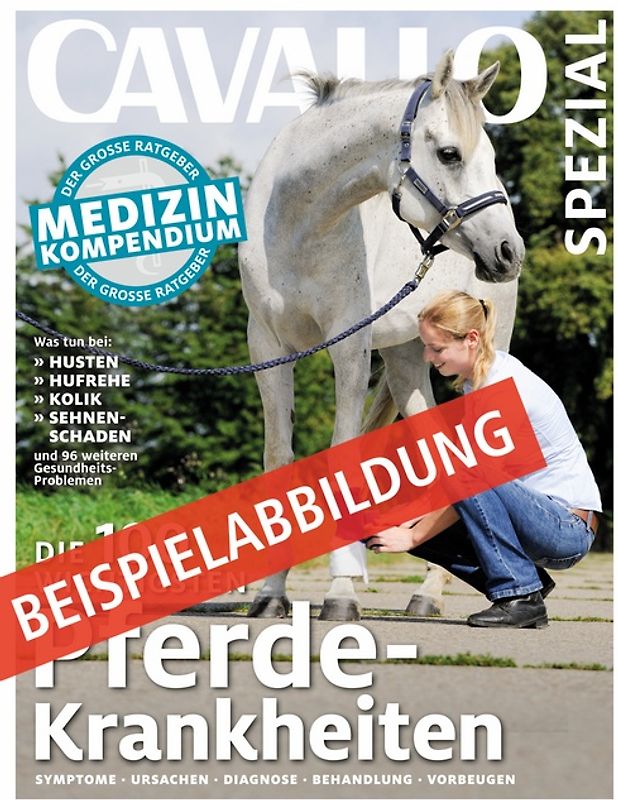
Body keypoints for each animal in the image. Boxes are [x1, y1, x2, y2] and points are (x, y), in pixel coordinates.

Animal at [237, 50, 524, 621]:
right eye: (450, 154)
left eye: (491, 156)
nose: (508, 252)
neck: (300, 226)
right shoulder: (269, 349)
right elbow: (279, 459)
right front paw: (270, 595)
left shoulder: (349, 348)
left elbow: (343, 460)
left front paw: (341, 593)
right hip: (407, 359)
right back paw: (424, 596)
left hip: (485, 354)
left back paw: (433, 594)